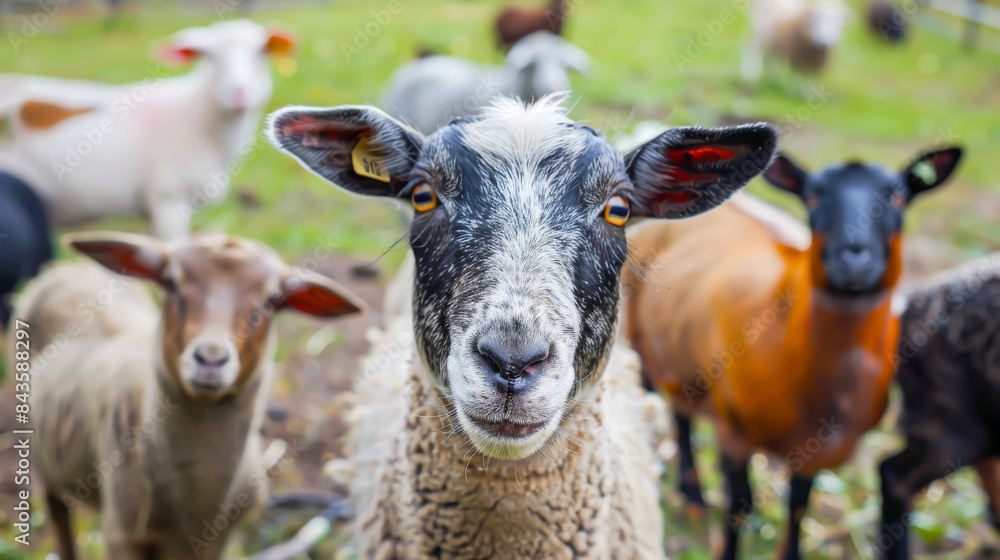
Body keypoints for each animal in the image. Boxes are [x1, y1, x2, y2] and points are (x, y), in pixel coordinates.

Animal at [10, 231, 364, 560]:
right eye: (170, 282)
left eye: (273, 298)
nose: (210, 358)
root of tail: (65, 270)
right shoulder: (121, 536)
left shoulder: (216, 542)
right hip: (42, 460)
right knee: (58, 515)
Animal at [623, 147, 962, 559]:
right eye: (813, 197)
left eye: (898, 196)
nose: (854, 260)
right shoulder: (733, 432)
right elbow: (739, 506)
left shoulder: (818, 450)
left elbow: (798, 506)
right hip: (639, 345)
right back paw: (690, 497)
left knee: (680, 409)